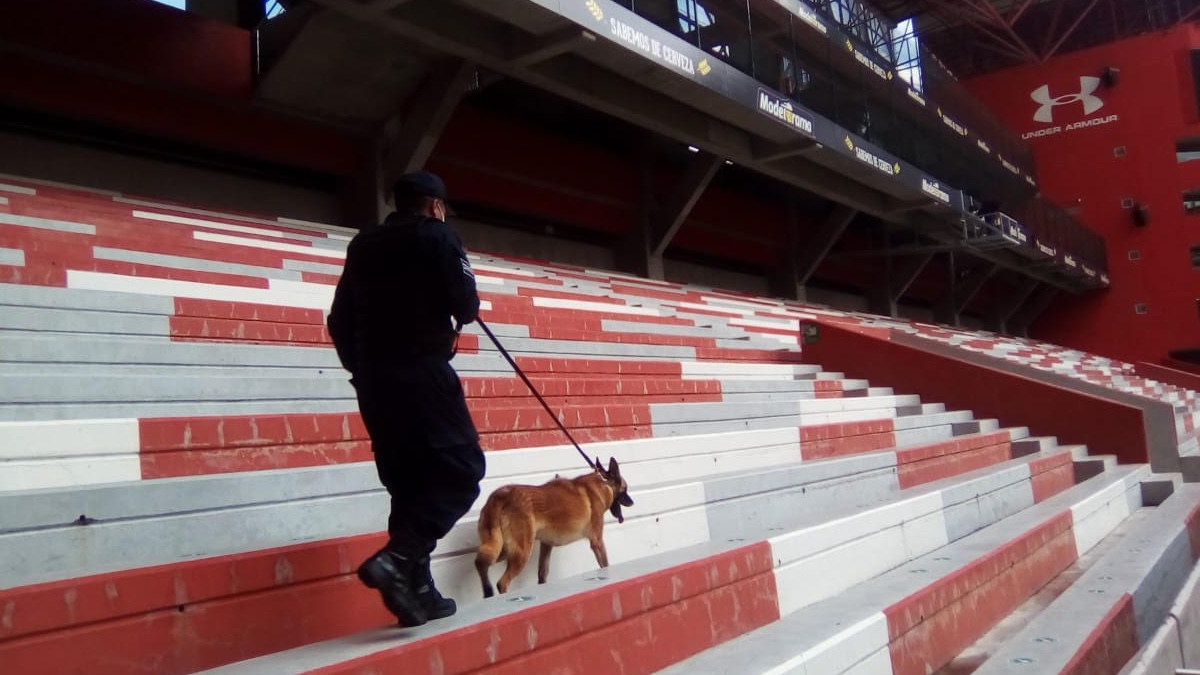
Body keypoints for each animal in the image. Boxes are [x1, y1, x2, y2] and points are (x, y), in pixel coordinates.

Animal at [475, 456, 638, 593]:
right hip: (521, 551)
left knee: (481, 563)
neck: (603, 483)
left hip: (502, 547)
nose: (632, 502)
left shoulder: (546, 545)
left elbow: (542, 574)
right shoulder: (597, 541)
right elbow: (605, 564)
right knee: (501, 582)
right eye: (625, 489)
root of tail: (500, 495)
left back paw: (487, 592)